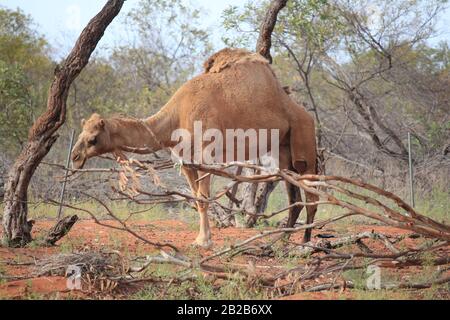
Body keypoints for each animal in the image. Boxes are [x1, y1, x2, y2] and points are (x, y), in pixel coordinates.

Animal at [72, 48, 318, 248]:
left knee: (311, 193)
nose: (75, 157)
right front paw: (201, 239)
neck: (176, 116)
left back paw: (305, 243)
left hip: (303, 143)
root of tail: (303, 113)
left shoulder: (204, 157)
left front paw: (204, 241)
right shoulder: (186, 162)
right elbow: (196, 198)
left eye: (92, 139)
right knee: (294, 197)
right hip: (283, 152)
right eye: (82, 133)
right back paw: (283, 239)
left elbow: (202, 198)